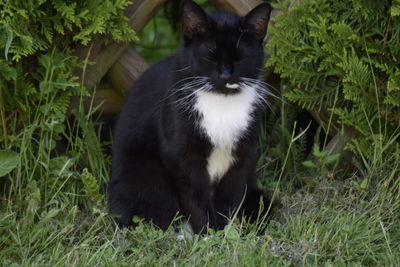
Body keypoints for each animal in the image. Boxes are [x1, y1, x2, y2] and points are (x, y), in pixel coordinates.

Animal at [108, 0, 274, 234]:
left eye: (240, 58)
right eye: (210, 56)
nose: (225, 76)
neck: (221, 104)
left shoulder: (243, 154)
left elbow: (231, 195)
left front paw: (224, 231)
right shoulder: (183, 156)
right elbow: (194, 197)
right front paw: (207, 232)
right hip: (144, 181)